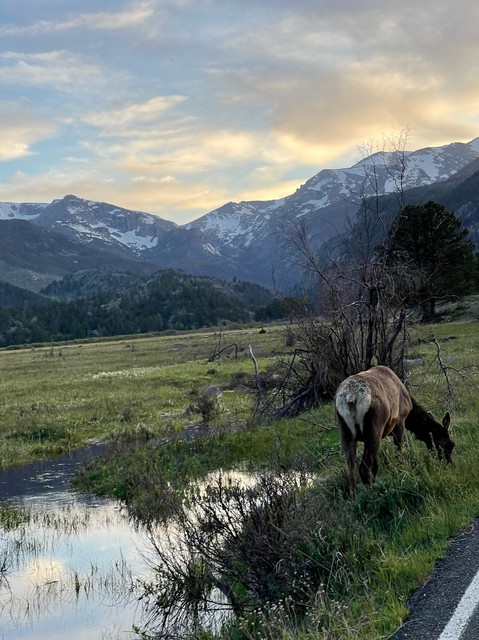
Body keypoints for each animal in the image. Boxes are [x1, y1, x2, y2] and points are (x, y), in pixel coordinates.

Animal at [335, 365, 454, 499]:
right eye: (446, 445)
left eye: (452, 445)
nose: (450, 466)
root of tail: (351, 398)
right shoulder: (400, 423)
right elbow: (398, 456)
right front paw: (402, 476)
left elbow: (376, 466)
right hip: (373, 429)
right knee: (364, 468)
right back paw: (371, 495)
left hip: (346, 432)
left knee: (351, 469)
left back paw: (354, 499)